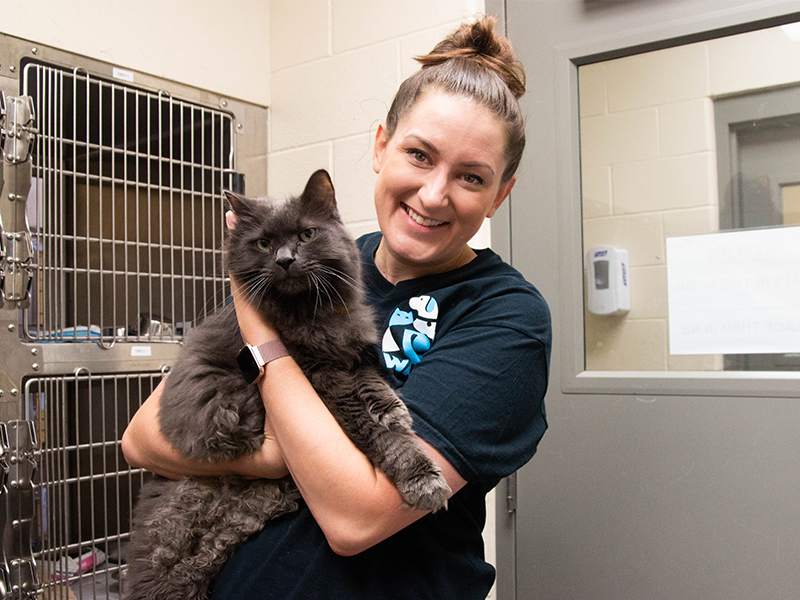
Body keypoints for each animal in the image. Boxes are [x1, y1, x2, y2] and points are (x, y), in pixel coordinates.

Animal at [124, 169, 450, 600]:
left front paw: (391, 409)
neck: (311, 313)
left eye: (306, 235)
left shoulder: (349, 351)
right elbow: (377, 434)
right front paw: (421, 478)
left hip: (240, 516)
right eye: (263, 243)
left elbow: (371, 382)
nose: (285, 260)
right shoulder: (324, 381)